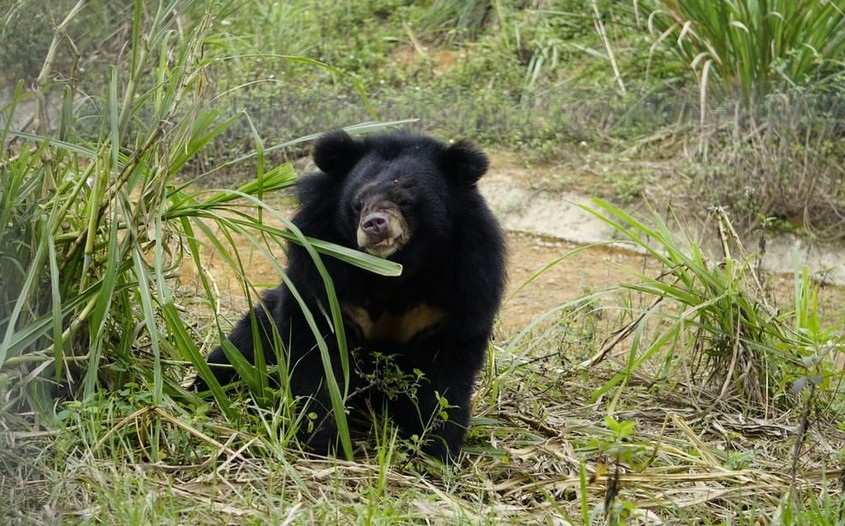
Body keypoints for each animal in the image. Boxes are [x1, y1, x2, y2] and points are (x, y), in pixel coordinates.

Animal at [195, 131, 504, 462]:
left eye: (404, 200)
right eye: (358, 203)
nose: (375, 225)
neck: (394, 270)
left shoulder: (462, 286)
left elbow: (444, 376)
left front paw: (436, 452)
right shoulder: (324, 274)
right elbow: (317, 358)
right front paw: (321, 442)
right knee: (241, 350)